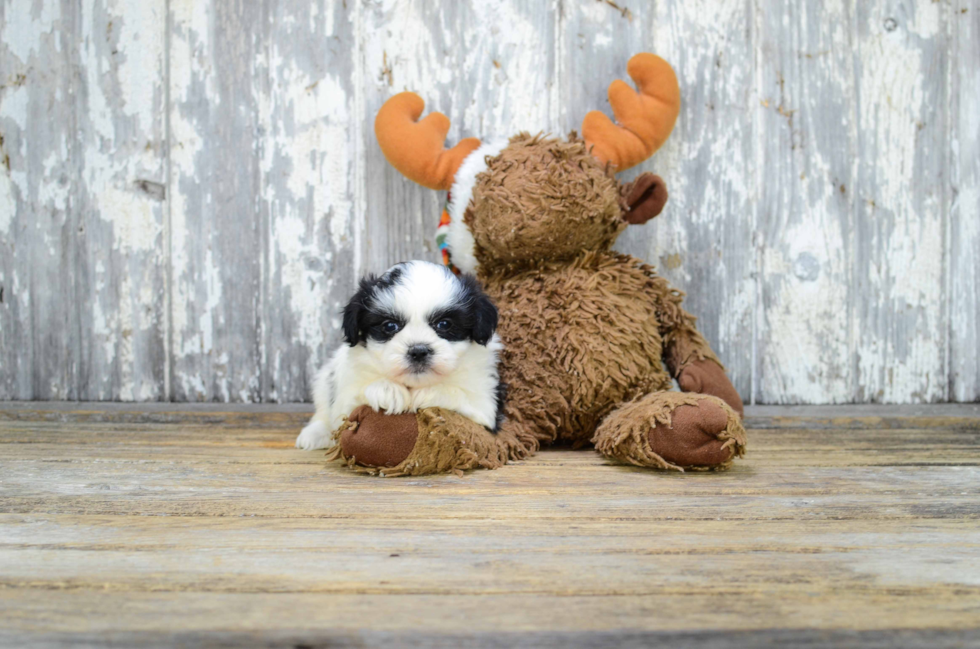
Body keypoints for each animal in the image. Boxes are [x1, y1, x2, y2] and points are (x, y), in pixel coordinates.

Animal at [294, 260, 506, 450]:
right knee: (323, 410)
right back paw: (315, 434)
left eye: (445, 324)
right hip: (325, 379)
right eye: (389, 326)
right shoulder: (346, 393)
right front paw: (387, 390)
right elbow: (349, 406)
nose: (418, 351)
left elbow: (460, 396)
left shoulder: (485, 405)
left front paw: (427, 393)